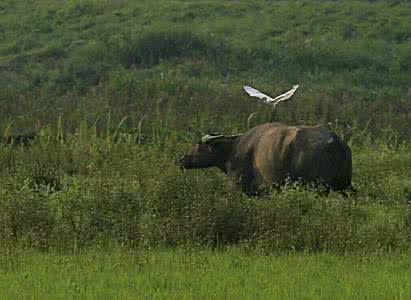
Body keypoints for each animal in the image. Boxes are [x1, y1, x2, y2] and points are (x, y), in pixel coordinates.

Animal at [180, 123, 354, 196]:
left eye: (199, 144)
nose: (181, 159)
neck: (235, 149)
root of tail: (336, 141)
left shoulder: (242, 186)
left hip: (320, 186)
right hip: (344, 185)